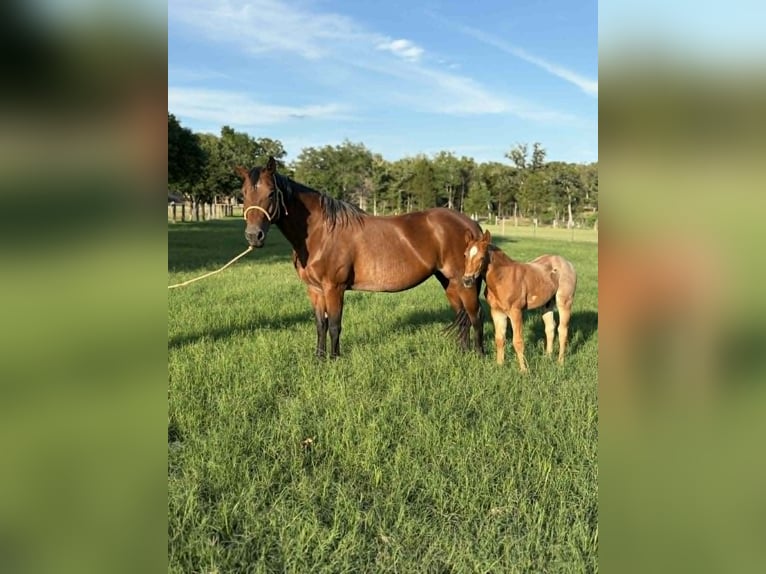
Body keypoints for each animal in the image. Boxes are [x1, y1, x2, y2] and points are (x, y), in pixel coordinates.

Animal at [236, 157, 484, 358]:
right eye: (244, 194)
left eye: (270, 193)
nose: (254, 236)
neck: (321, 232)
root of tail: (472, 226)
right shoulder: (315, 290)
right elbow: (320, 325)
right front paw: (319, 359)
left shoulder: (334, 288)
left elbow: (334, 325)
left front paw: (334, 360)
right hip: (448, 282)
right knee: (462, 316)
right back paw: (463, 353)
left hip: (465, 283)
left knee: (476, 316)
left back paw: (479, 356)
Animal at [461, 229, 576, 371]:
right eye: (465, 255)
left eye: (482, 257)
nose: (467, 280)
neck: (502, 278)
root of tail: (567, 263)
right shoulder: (497, 312)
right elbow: (499, 339)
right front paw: (499, 366)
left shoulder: (515, 311)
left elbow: (518, 341)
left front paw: (524, 370)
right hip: (547, 304)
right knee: (550, 328)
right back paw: (547, 358)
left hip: (564, 302)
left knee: (563, 330)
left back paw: (560, 362)